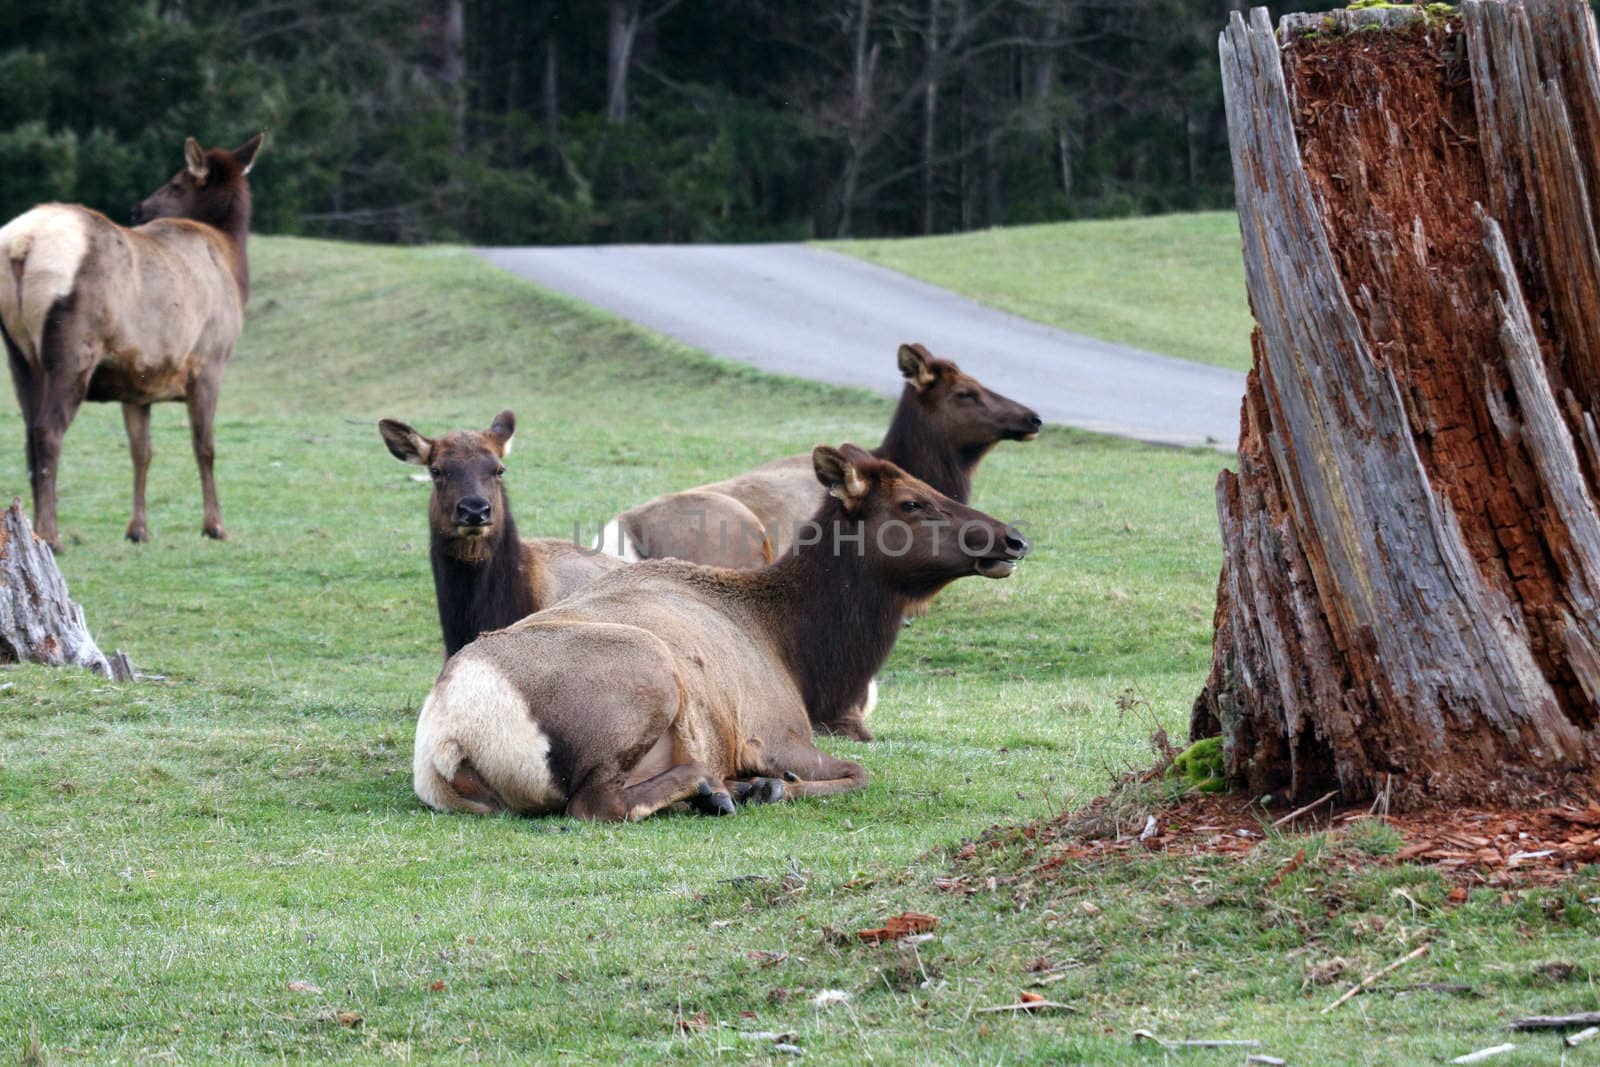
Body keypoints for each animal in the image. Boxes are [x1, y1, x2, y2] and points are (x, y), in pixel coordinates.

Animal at [0, 134, 265, 550]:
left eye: (175, 184)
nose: (139, 208)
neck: (231, 261)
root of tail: (22, 243)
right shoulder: (210, 361)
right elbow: (204, 447)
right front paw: (215, 526)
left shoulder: (137, 381)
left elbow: (141, 451)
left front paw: (138, 529)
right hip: (73, 346)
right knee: (47, 431)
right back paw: (51, 535)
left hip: (19, 353)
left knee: (28, 431)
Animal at [412, 447, 1030, 825]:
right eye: (912, 502)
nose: (1013, 539)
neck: (795, 649)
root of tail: (451, 734)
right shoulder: (776, 731)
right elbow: (859, 773)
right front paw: (767, 786)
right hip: (649, 672)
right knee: (597, 803)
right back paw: (719, 787)